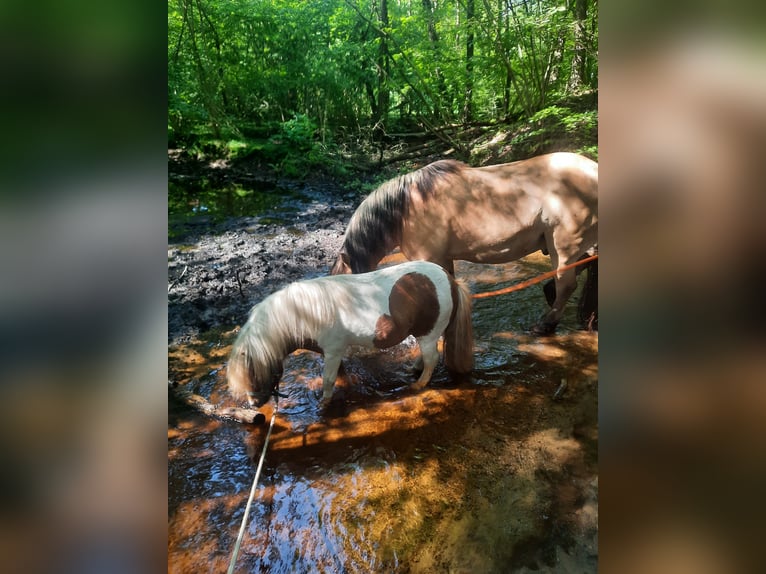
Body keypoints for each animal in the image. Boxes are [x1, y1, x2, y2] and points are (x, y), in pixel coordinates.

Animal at [227, 260, 474, 408]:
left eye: (253, 374)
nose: (253, 404)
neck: (305, 313)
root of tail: (450, 280)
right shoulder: (333, 353)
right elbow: (340, 376)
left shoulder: (333, 351)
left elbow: (328, 380)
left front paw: (324, 404)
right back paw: (413, 369)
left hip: (427, 334)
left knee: (432, 358)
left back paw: (418, 385)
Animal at [331, 152, 598, 334]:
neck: (404, 211)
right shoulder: (443, 259)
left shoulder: (429, 258)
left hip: (562, 246)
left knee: (566, 284)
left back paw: (546, 323)